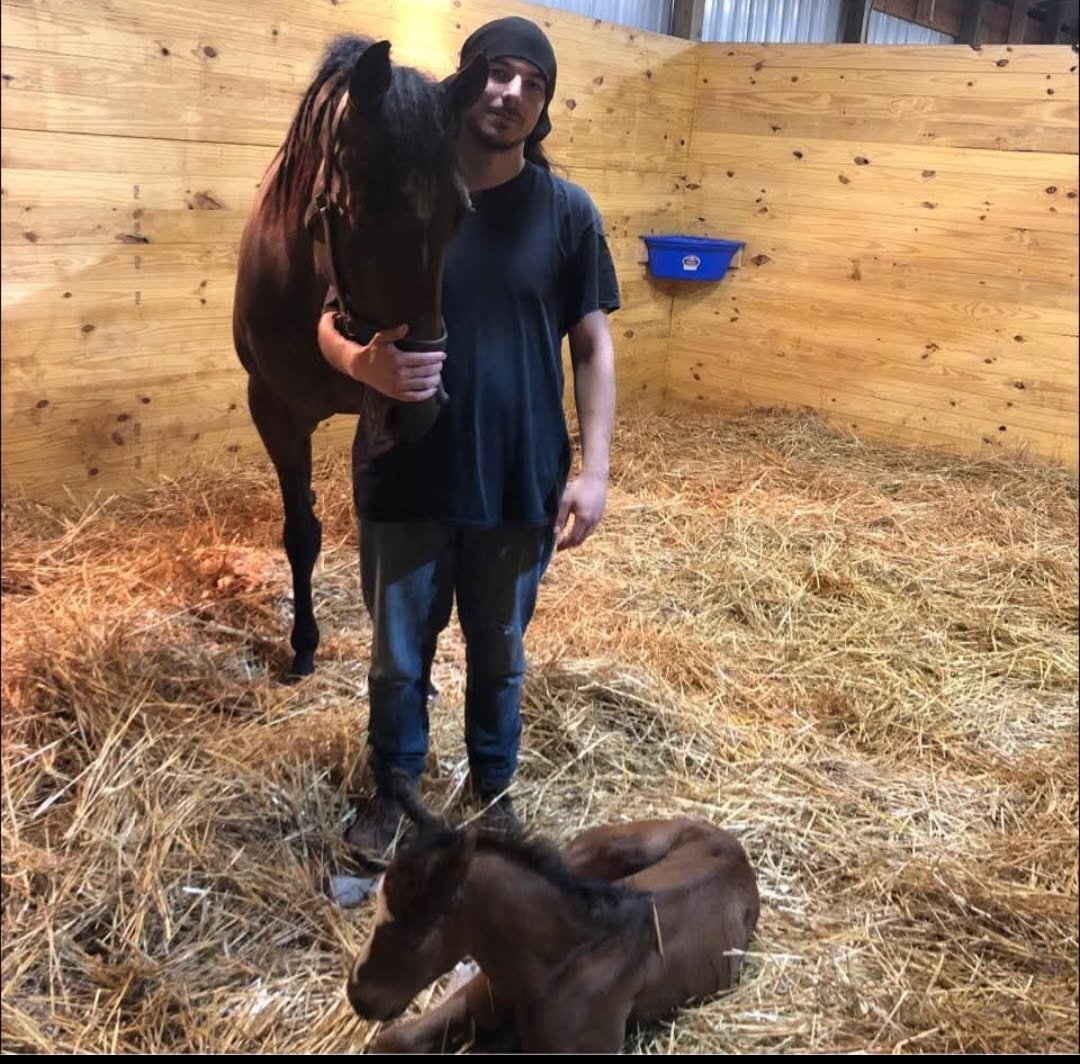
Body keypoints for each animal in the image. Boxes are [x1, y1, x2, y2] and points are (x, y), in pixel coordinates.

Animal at [233, 36, 488, 678]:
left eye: (462, 214)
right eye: (359, 212)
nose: (422, 408)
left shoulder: (381, 415)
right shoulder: (273, 411)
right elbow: (302, 532)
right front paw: (302, 644)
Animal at [346, 805, 761, 1053]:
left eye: (419, 932)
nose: (357, 996)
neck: (556, 965)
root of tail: (736, 850)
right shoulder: (476, 1002)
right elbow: (392, 1040)